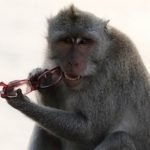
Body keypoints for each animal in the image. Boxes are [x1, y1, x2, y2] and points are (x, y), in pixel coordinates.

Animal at [4, 4, 149, 150]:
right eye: (66, 41)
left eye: (84, 42)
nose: (73, 62)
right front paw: (42, 79)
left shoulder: (111, 74)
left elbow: (91, 131)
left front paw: (22, 102)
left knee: (120, 139)